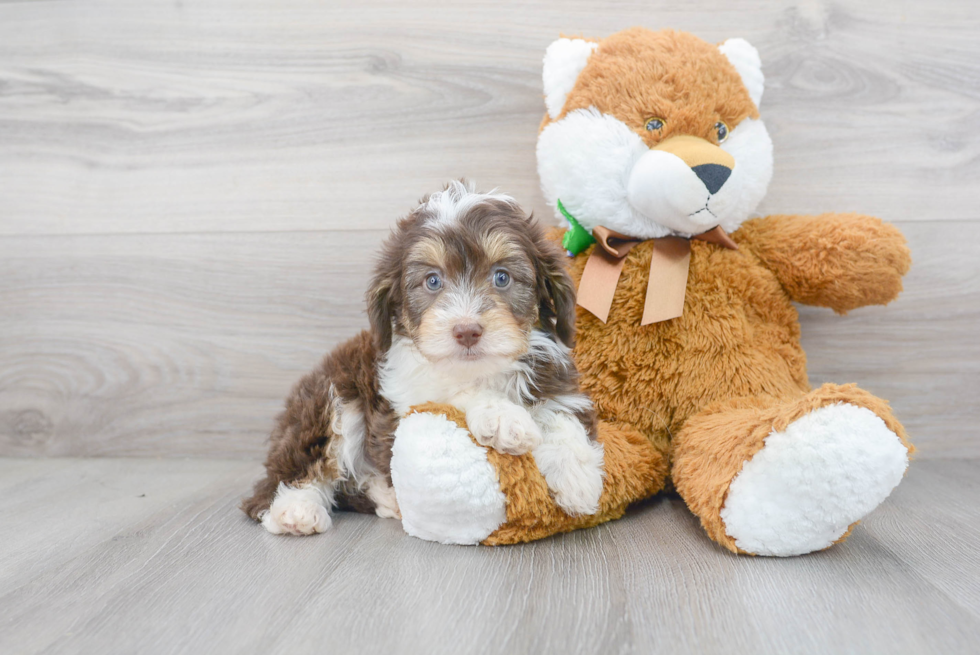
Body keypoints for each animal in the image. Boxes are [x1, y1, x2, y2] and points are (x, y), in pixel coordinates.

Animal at [241, 182, 600, 536]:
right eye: (432, 281)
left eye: (502, 277)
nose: (466, 331)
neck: (480, 369)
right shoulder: (402, 397)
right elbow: (451, 394)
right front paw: (502, 417)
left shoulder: (556, 378)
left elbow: (561, 414)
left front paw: (578, 477)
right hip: (329, 395)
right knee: (290, 472)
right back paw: (296, 509)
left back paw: (384, 496)